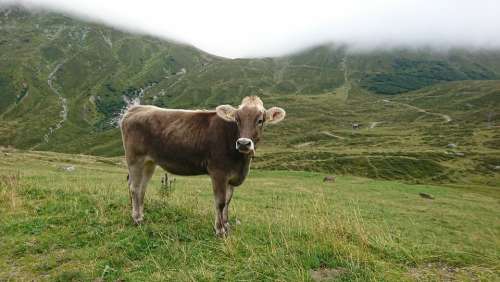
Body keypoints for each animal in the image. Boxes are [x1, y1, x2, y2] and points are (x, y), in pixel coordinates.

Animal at [119, 96, 286, 236]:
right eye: (237, 119)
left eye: (260, 120)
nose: (243, 143)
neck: (241, 163)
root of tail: (136, 109)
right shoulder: (218, 172)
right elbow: (220, 202)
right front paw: (219, 230)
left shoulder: (231, 176)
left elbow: (228, 201)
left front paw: (227, 226)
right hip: (135, 158)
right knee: (134, 187)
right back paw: (136, 219)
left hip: (149, 162)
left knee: (142, 188)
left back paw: (141, 216)